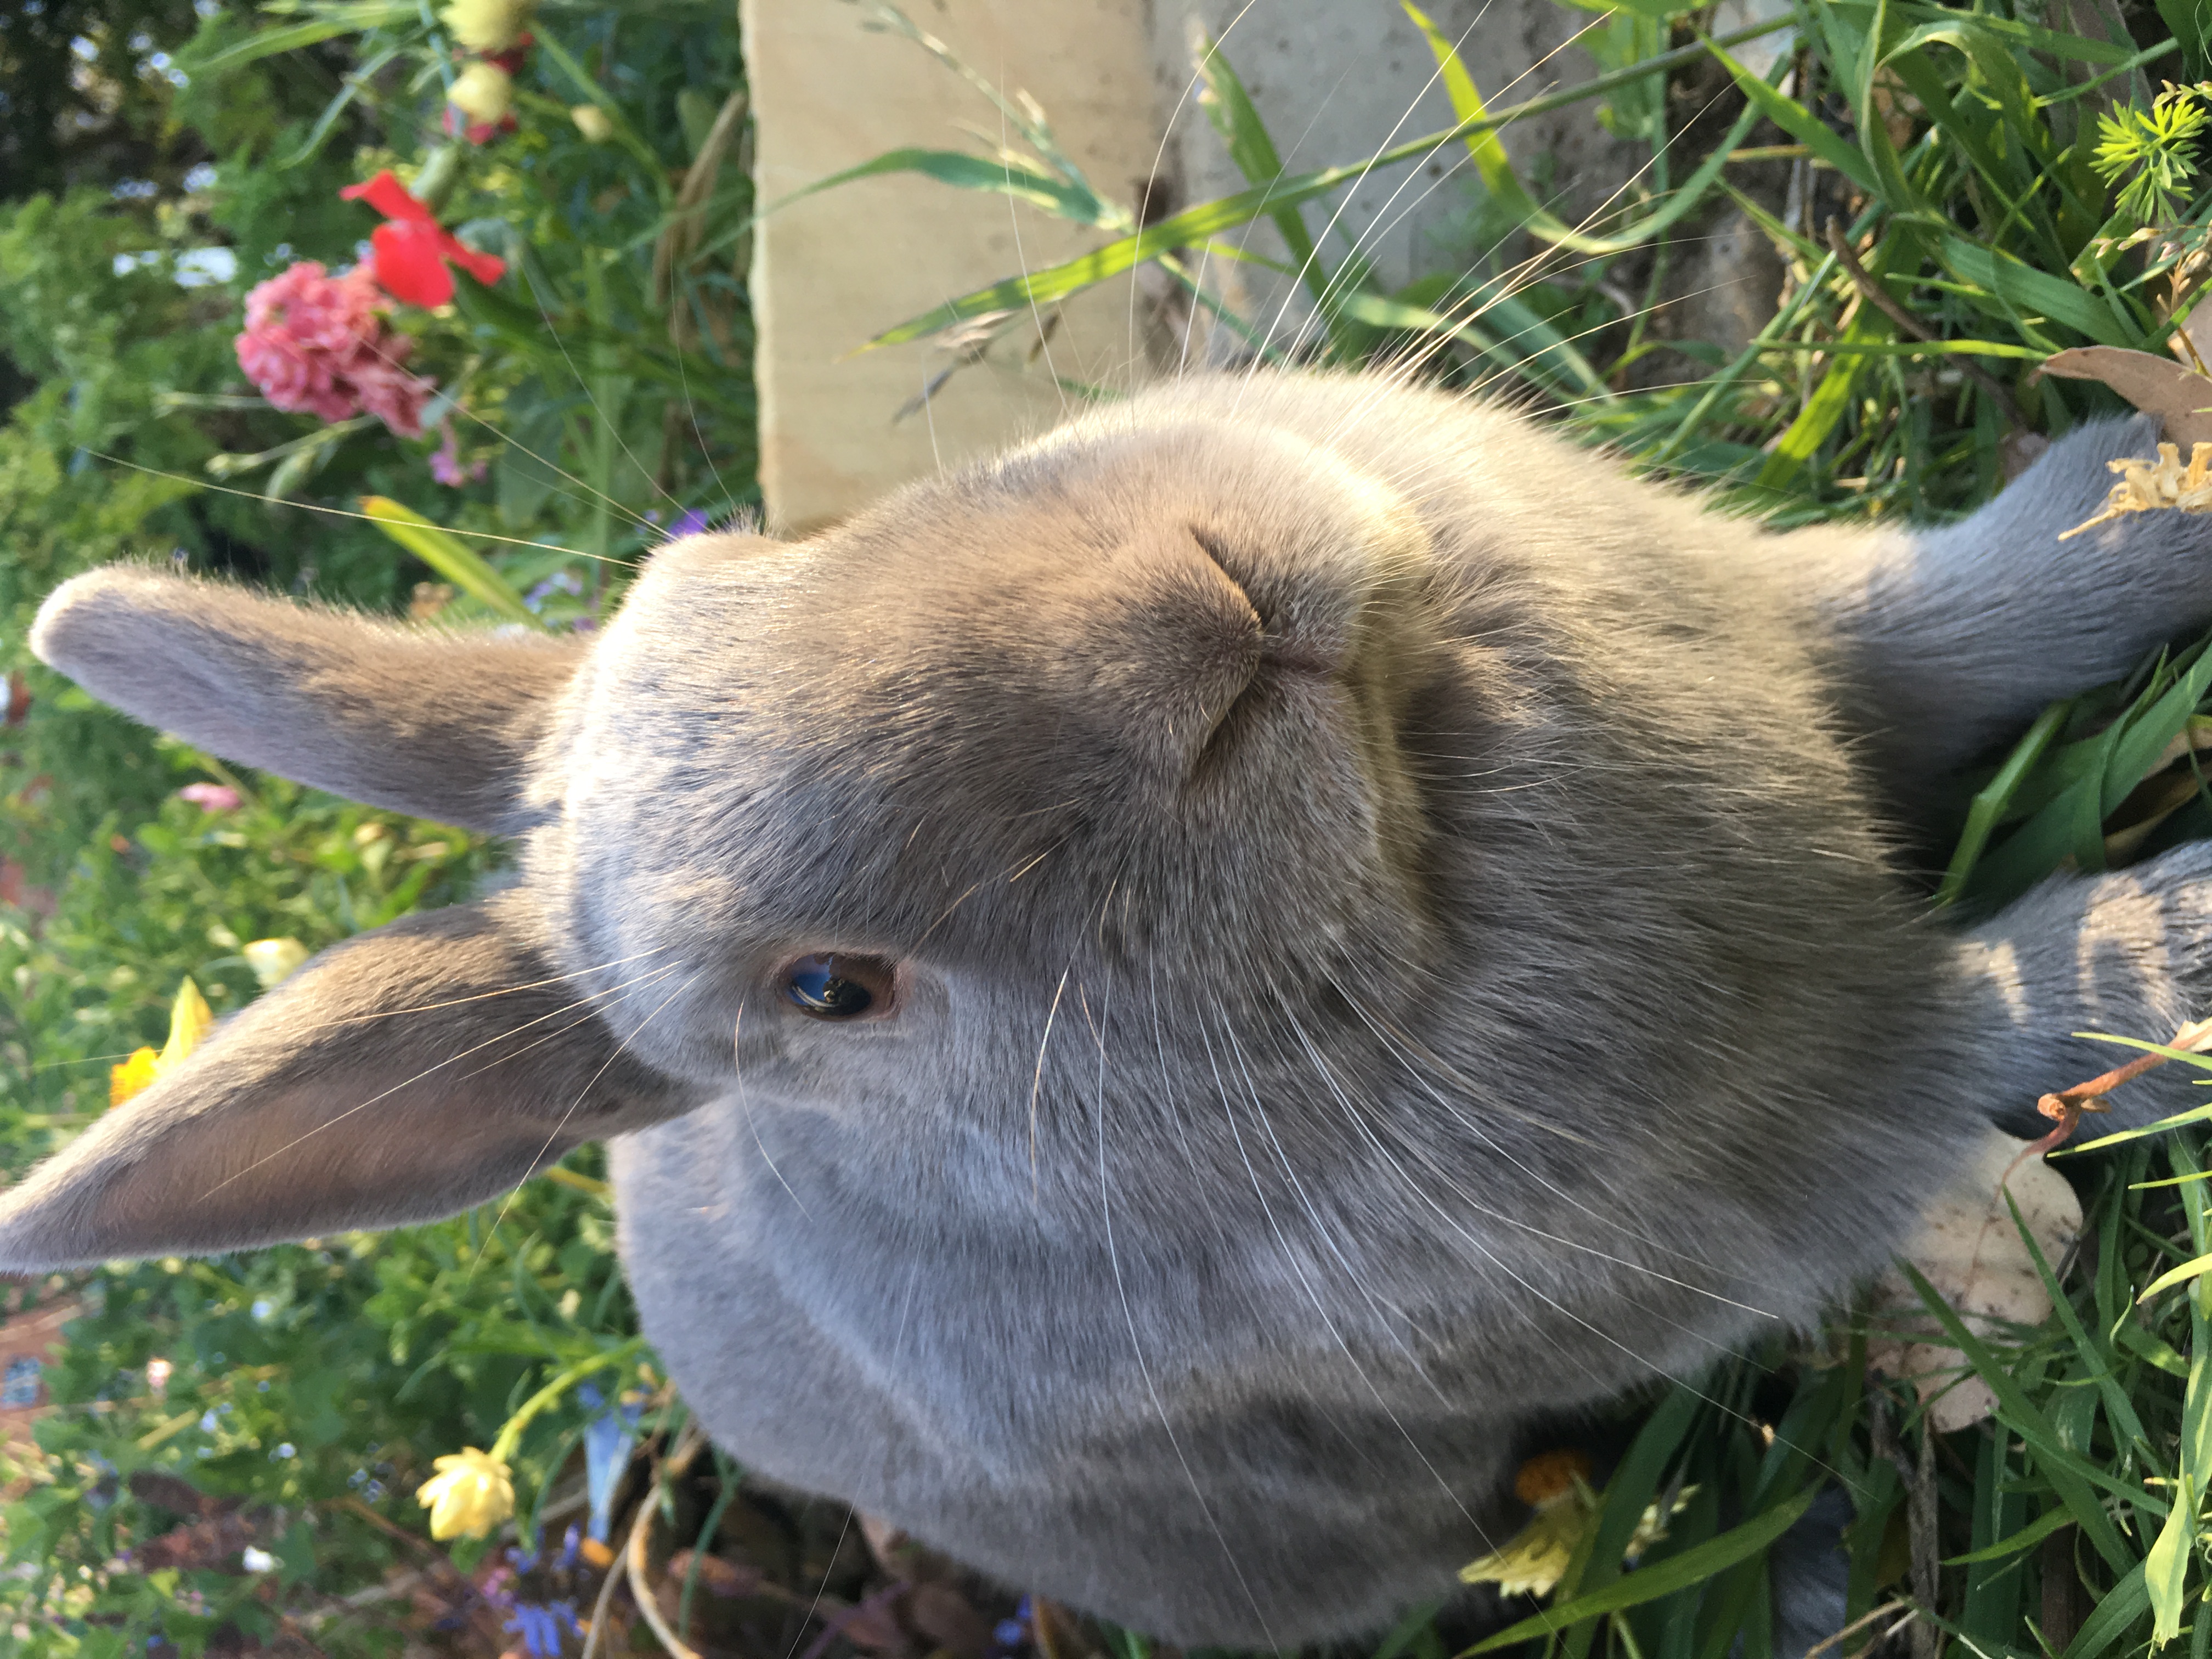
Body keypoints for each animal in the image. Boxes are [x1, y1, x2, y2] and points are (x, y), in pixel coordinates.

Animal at [8, 369, 2212, 1647]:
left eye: (759, 551)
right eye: (829, 988)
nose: (1198, 613)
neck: (1426, 789)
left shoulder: (1803, 623)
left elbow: (1975, 603)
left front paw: (2154, 482)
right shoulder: (1784, 1145)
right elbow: (2022, 1003)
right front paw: (2185, 942)